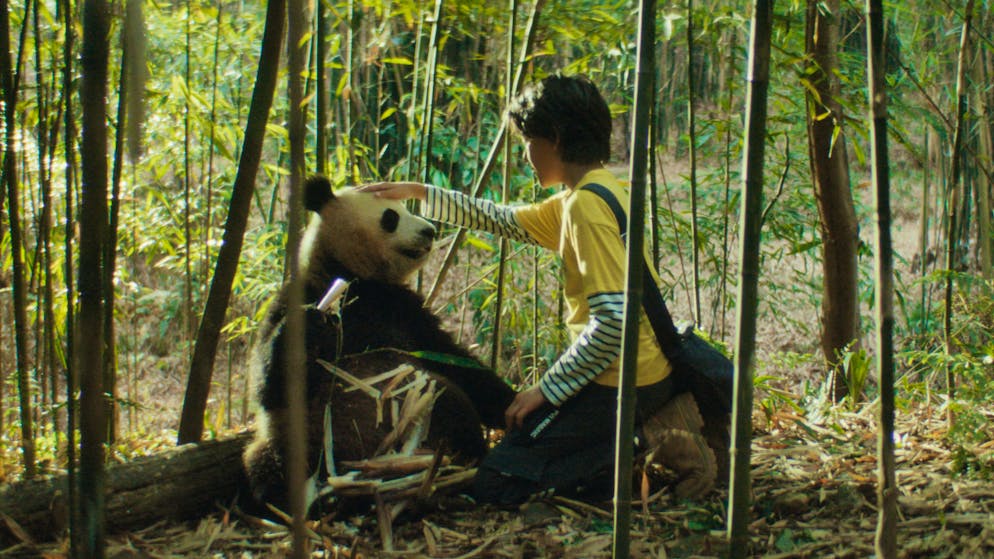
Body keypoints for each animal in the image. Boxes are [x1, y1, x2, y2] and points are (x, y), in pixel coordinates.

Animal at [243, 175, 515, 508]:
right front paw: (310, 319)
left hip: (425, 410)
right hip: (296, 438)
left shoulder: (404, 311)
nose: (430, 230)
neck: (353, 278)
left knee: (450, 402)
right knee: (268, 465)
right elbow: (267, 384)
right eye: (390, 216)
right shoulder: (297, 294)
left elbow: (453, 360)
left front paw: (514, 404)